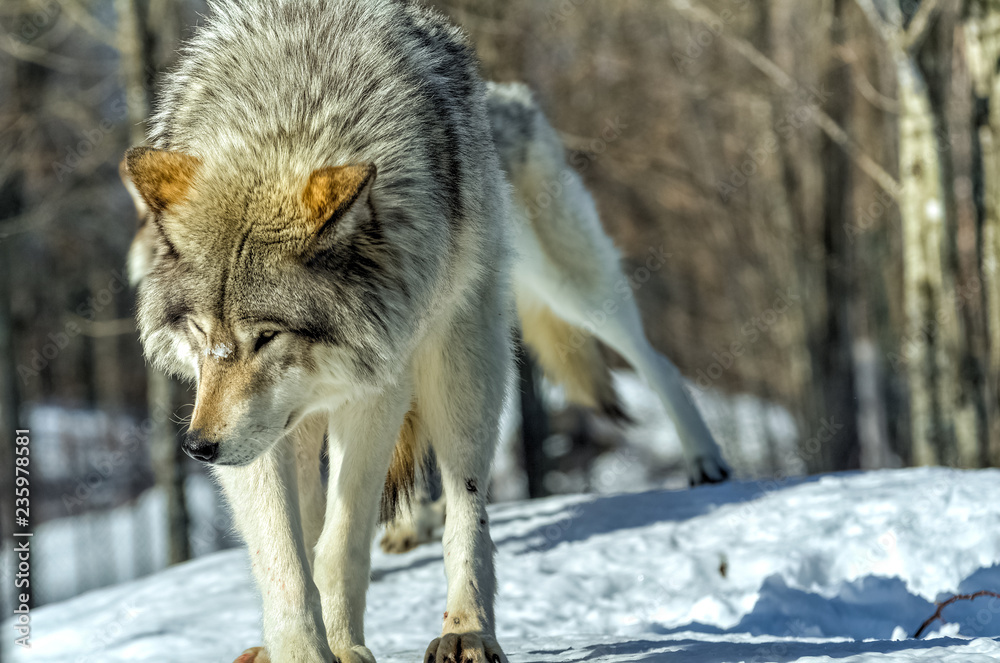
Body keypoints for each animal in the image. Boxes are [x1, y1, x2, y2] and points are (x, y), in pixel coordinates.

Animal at [121, 1, 728, 662]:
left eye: (267, 336)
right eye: (201, 334)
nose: (197, 448)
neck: (289, 120)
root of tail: (506, 95)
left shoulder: (372, 389)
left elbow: (340, 545)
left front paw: (344, 645)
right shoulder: (250, 425)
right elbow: (286, 560)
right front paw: (300, 649)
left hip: (523, 320)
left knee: (630, 372)